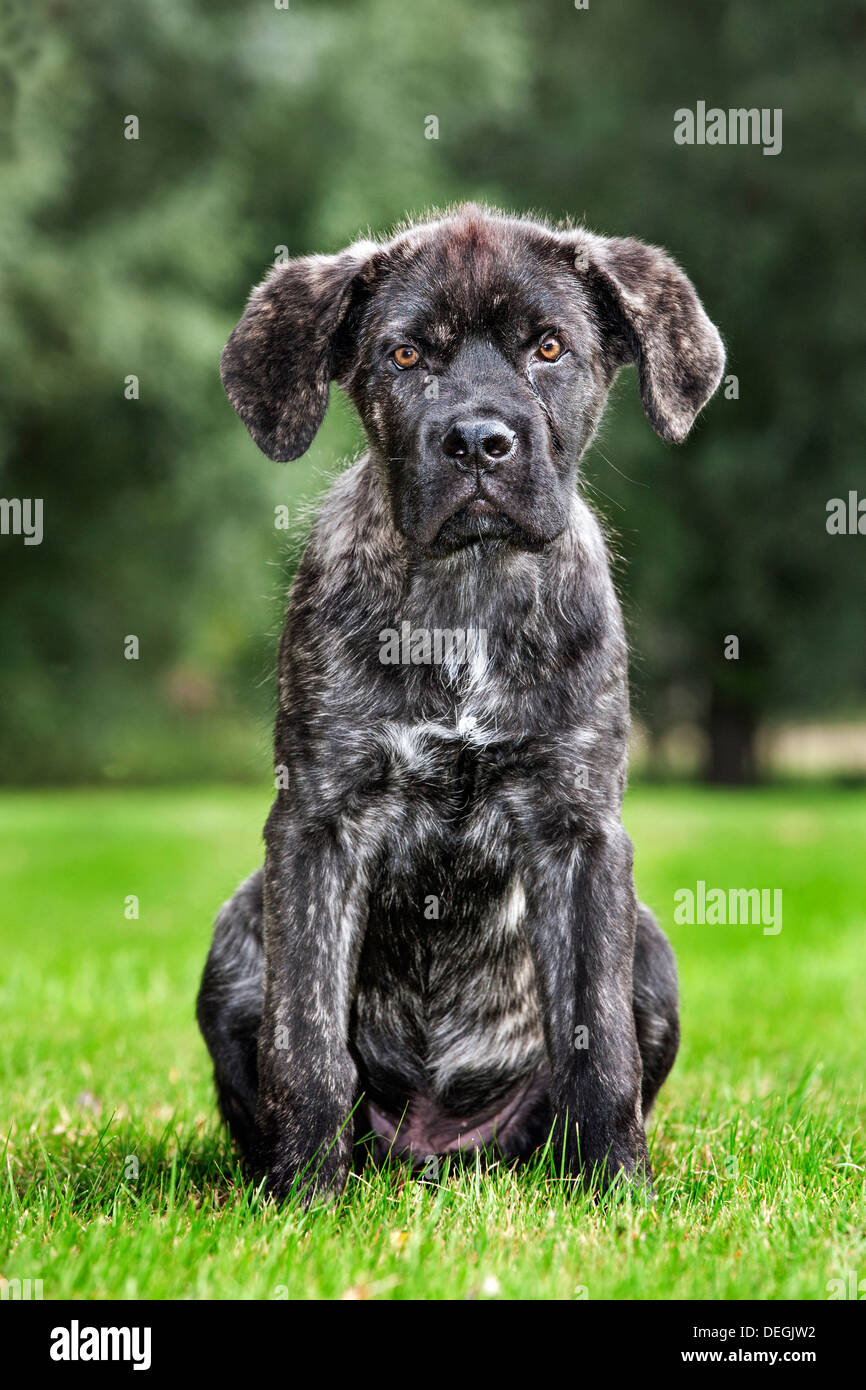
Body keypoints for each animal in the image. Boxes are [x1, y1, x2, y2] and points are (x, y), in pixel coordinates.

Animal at [195, 201, 722, 1200]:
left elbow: (599, 1046)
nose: (479, 441)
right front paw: (305, 1197)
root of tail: (435, 1153)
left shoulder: (580, 833)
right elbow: (307, 1040)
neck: (467, 592)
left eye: (550, 348)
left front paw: (619, 1191)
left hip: (654, 951)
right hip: (238, 937)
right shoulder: (318, 825)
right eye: (404, 356)